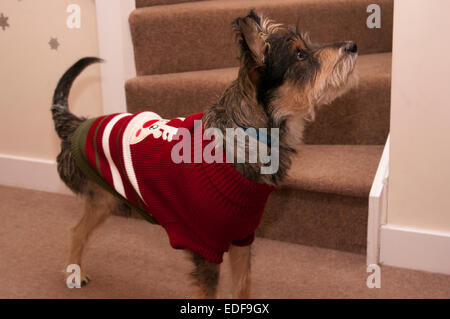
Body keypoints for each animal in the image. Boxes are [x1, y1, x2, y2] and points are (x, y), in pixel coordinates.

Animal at [51, 10, 356, 300]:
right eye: (300, 54)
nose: (353, 45)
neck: (245, 133)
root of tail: (76, 124)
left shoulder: (243, 238)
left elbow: (242, 287)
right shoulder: (206, 248)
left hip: (103, 202)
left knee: (76, 230)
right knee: (76, 231)